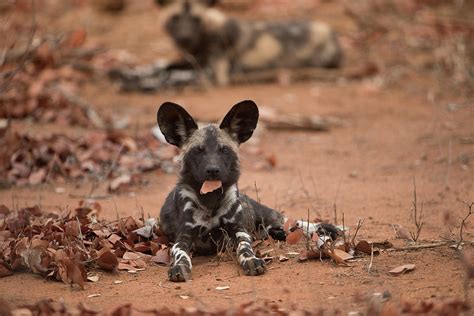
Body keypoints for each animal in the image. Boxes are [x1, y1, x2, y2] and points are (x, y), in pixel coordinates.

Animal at [156, 0, 344, 85]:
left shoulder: (214, 75)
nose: (185, 37)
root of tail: (333, 33)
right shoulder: (193, 61)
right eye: (175, 18)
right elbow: (167, 67)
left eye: (196, 19)